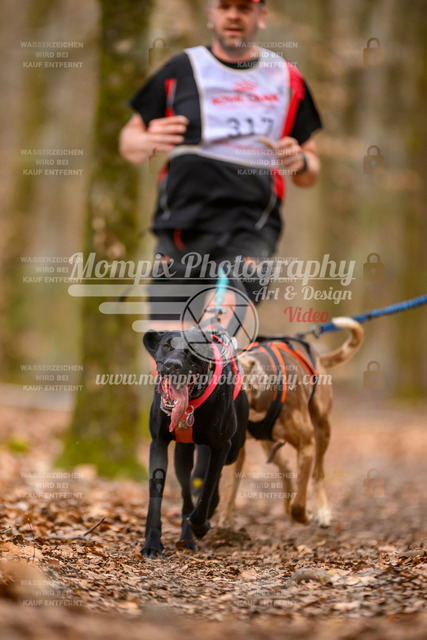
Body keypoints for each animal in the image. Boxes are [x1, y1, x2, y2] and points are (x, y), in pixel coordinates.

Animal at [142, 324, 248, 558]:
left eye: (193, 350)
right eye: (166, 345)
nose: (173, 365)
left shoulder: (221, 446)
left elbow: (207, 488)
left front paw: (201, 526)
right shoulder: (158, 443)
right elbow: (156, 496)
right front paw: (152, 543)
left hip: (233, 449)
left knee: (209, 484)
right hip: (183, 454)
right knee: (186, 491)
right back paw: (186, 537)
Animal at [218, 317, 364, 528]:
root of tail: (317, 356)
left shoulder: (306, 445)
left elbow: (300, 501)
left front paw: (305, 516)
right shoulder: (236, 449)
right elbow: (229, 489)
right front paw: (224, 522)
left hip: (322, 428)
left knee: (318, 473)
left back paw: (322, 511)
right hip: (268, 442)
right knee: (285, 465)